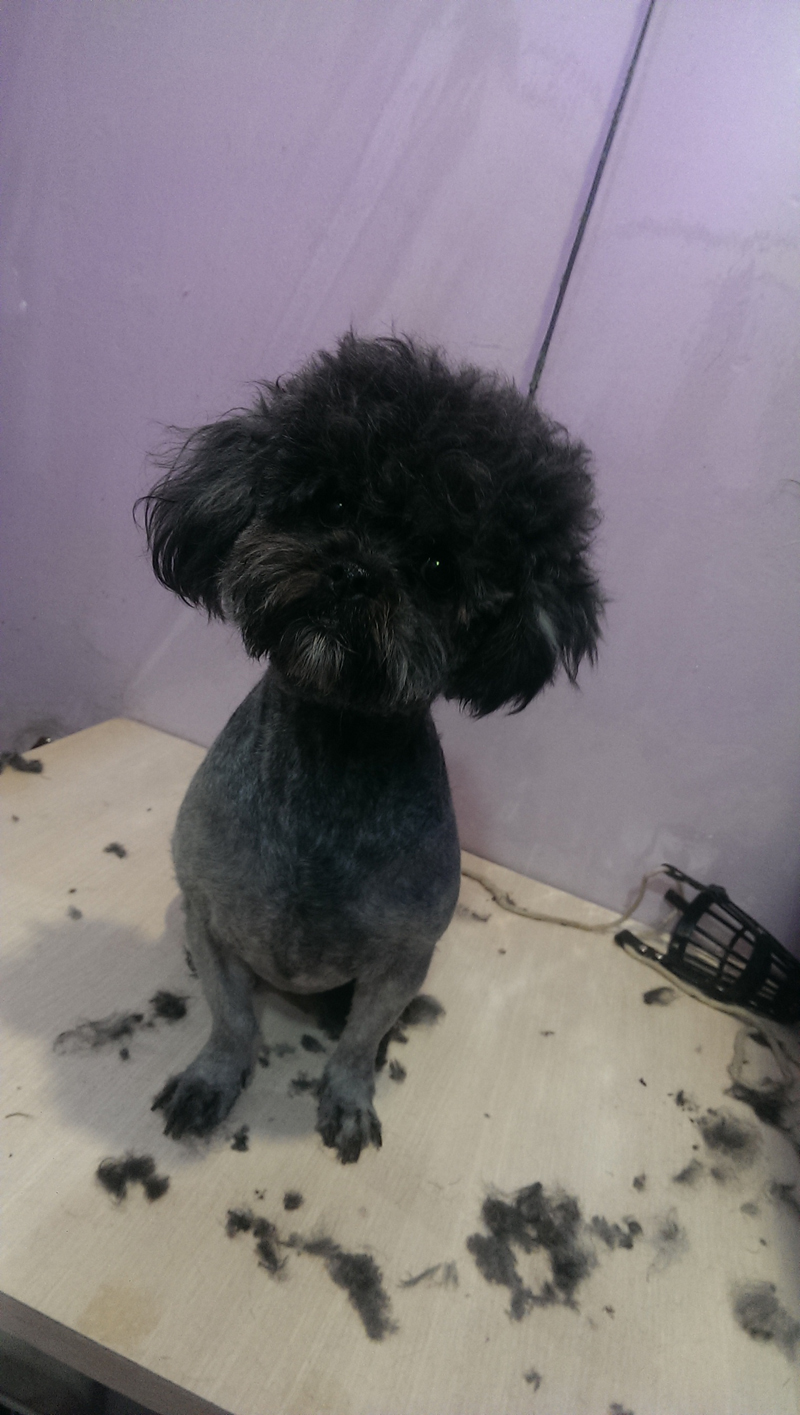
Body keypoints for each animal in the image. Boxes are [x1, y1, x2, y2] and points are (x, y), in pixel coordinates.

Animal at [140, 333, 602, 1162]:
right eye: (332, 503)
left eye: (440, 567)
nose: (354, 573)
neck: (332, 755)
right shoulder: (214, 922)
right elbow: (232, 1020)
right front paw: (213, 1079)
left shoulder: (401, 958)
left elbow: (357, 1042)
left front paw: (350, 1099)